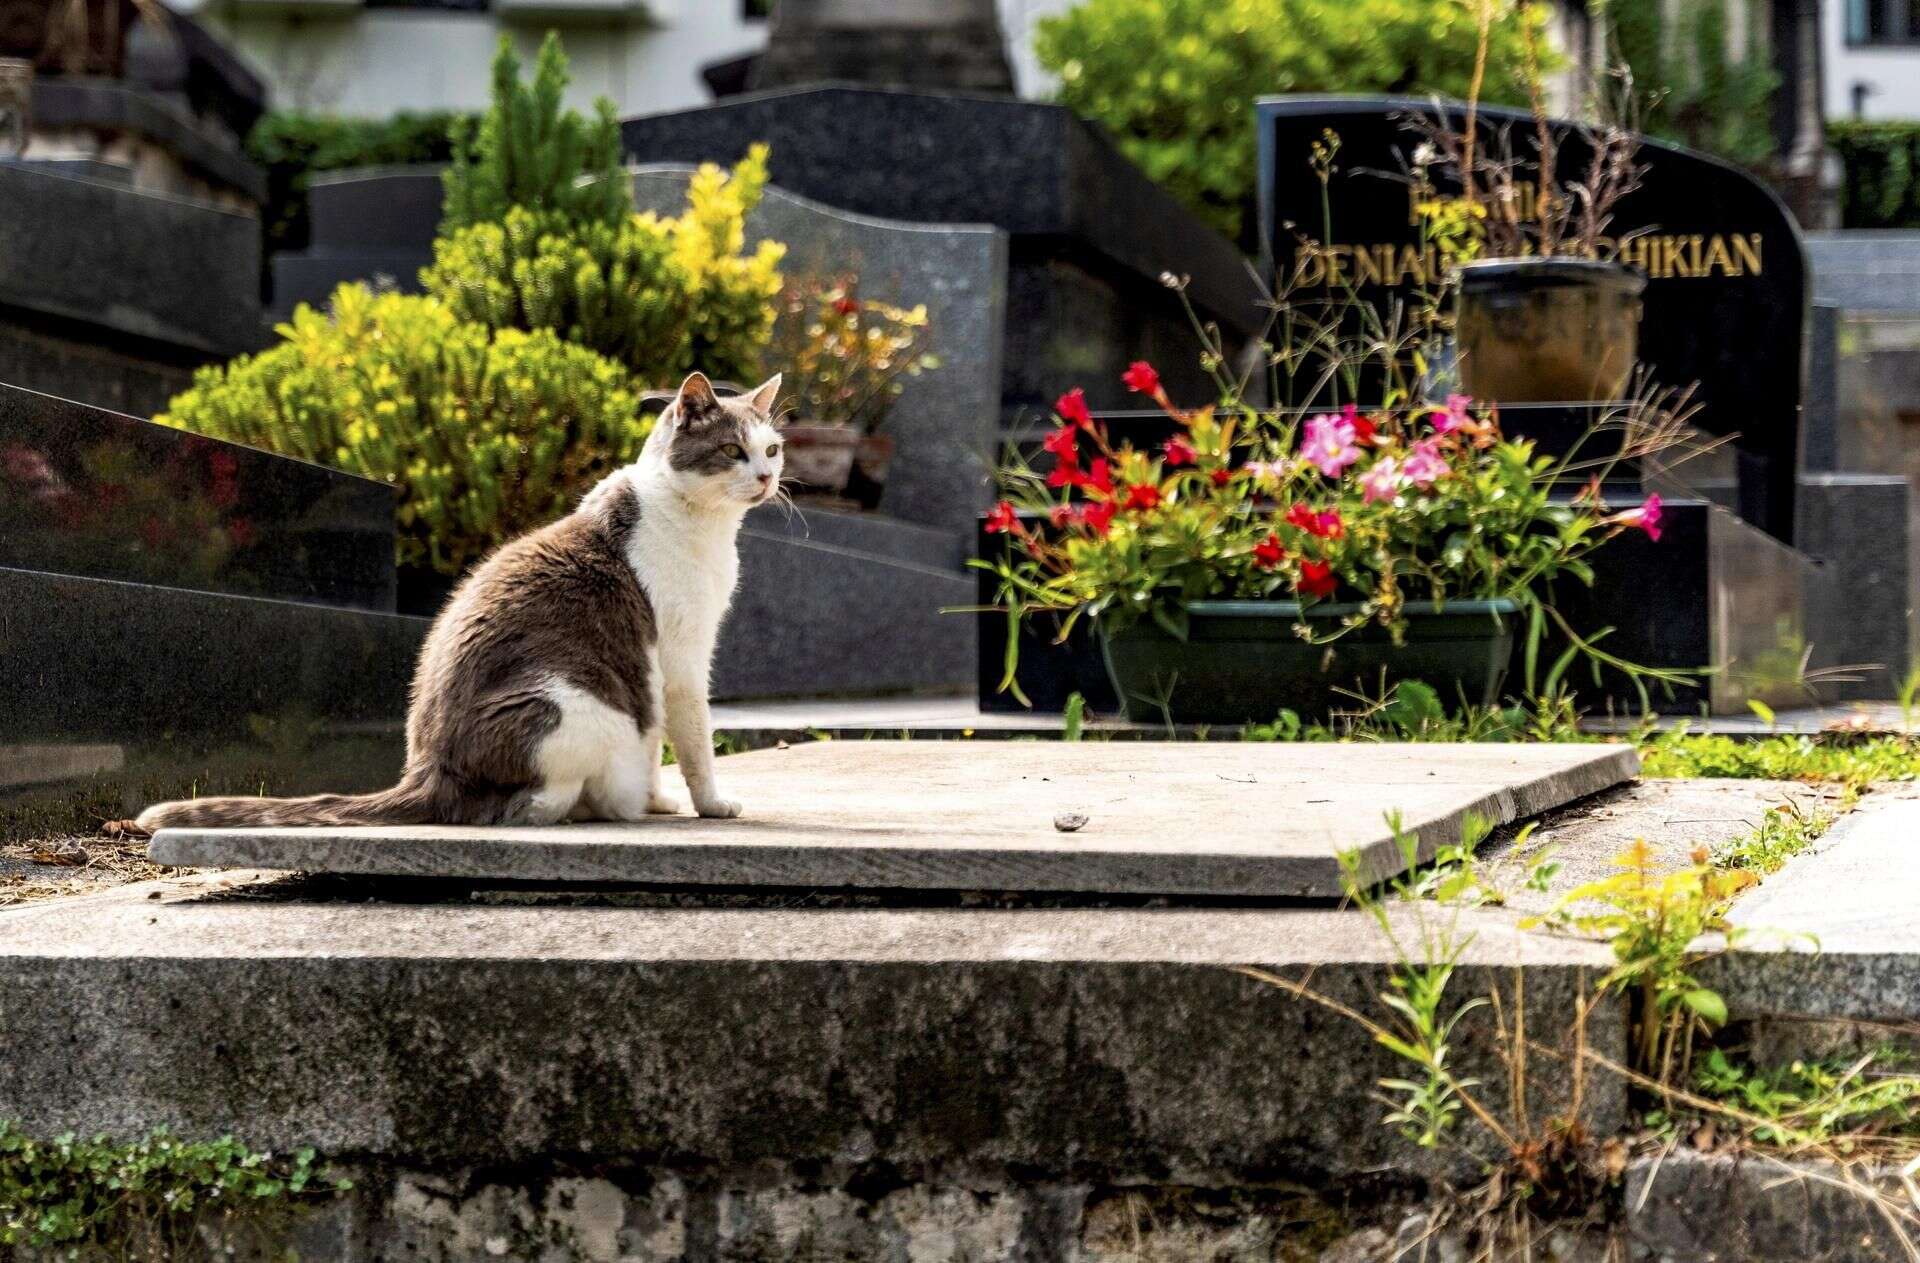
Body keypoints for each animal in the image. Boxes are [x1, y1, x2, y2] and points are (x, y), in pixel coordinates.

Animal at [135, 368, 783, 833]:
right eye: (732, 450)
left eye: (772, 449)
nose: (767, 478)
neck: (706, 528)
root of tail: (425, 772)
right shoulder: (678, 659)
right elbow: (693, 739)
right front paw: (711, 803)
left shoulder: (660, 670)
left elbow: (661, 748)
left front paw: (660, 802)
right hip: (581, 707)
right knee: (525, 802)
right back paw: (588, 805)